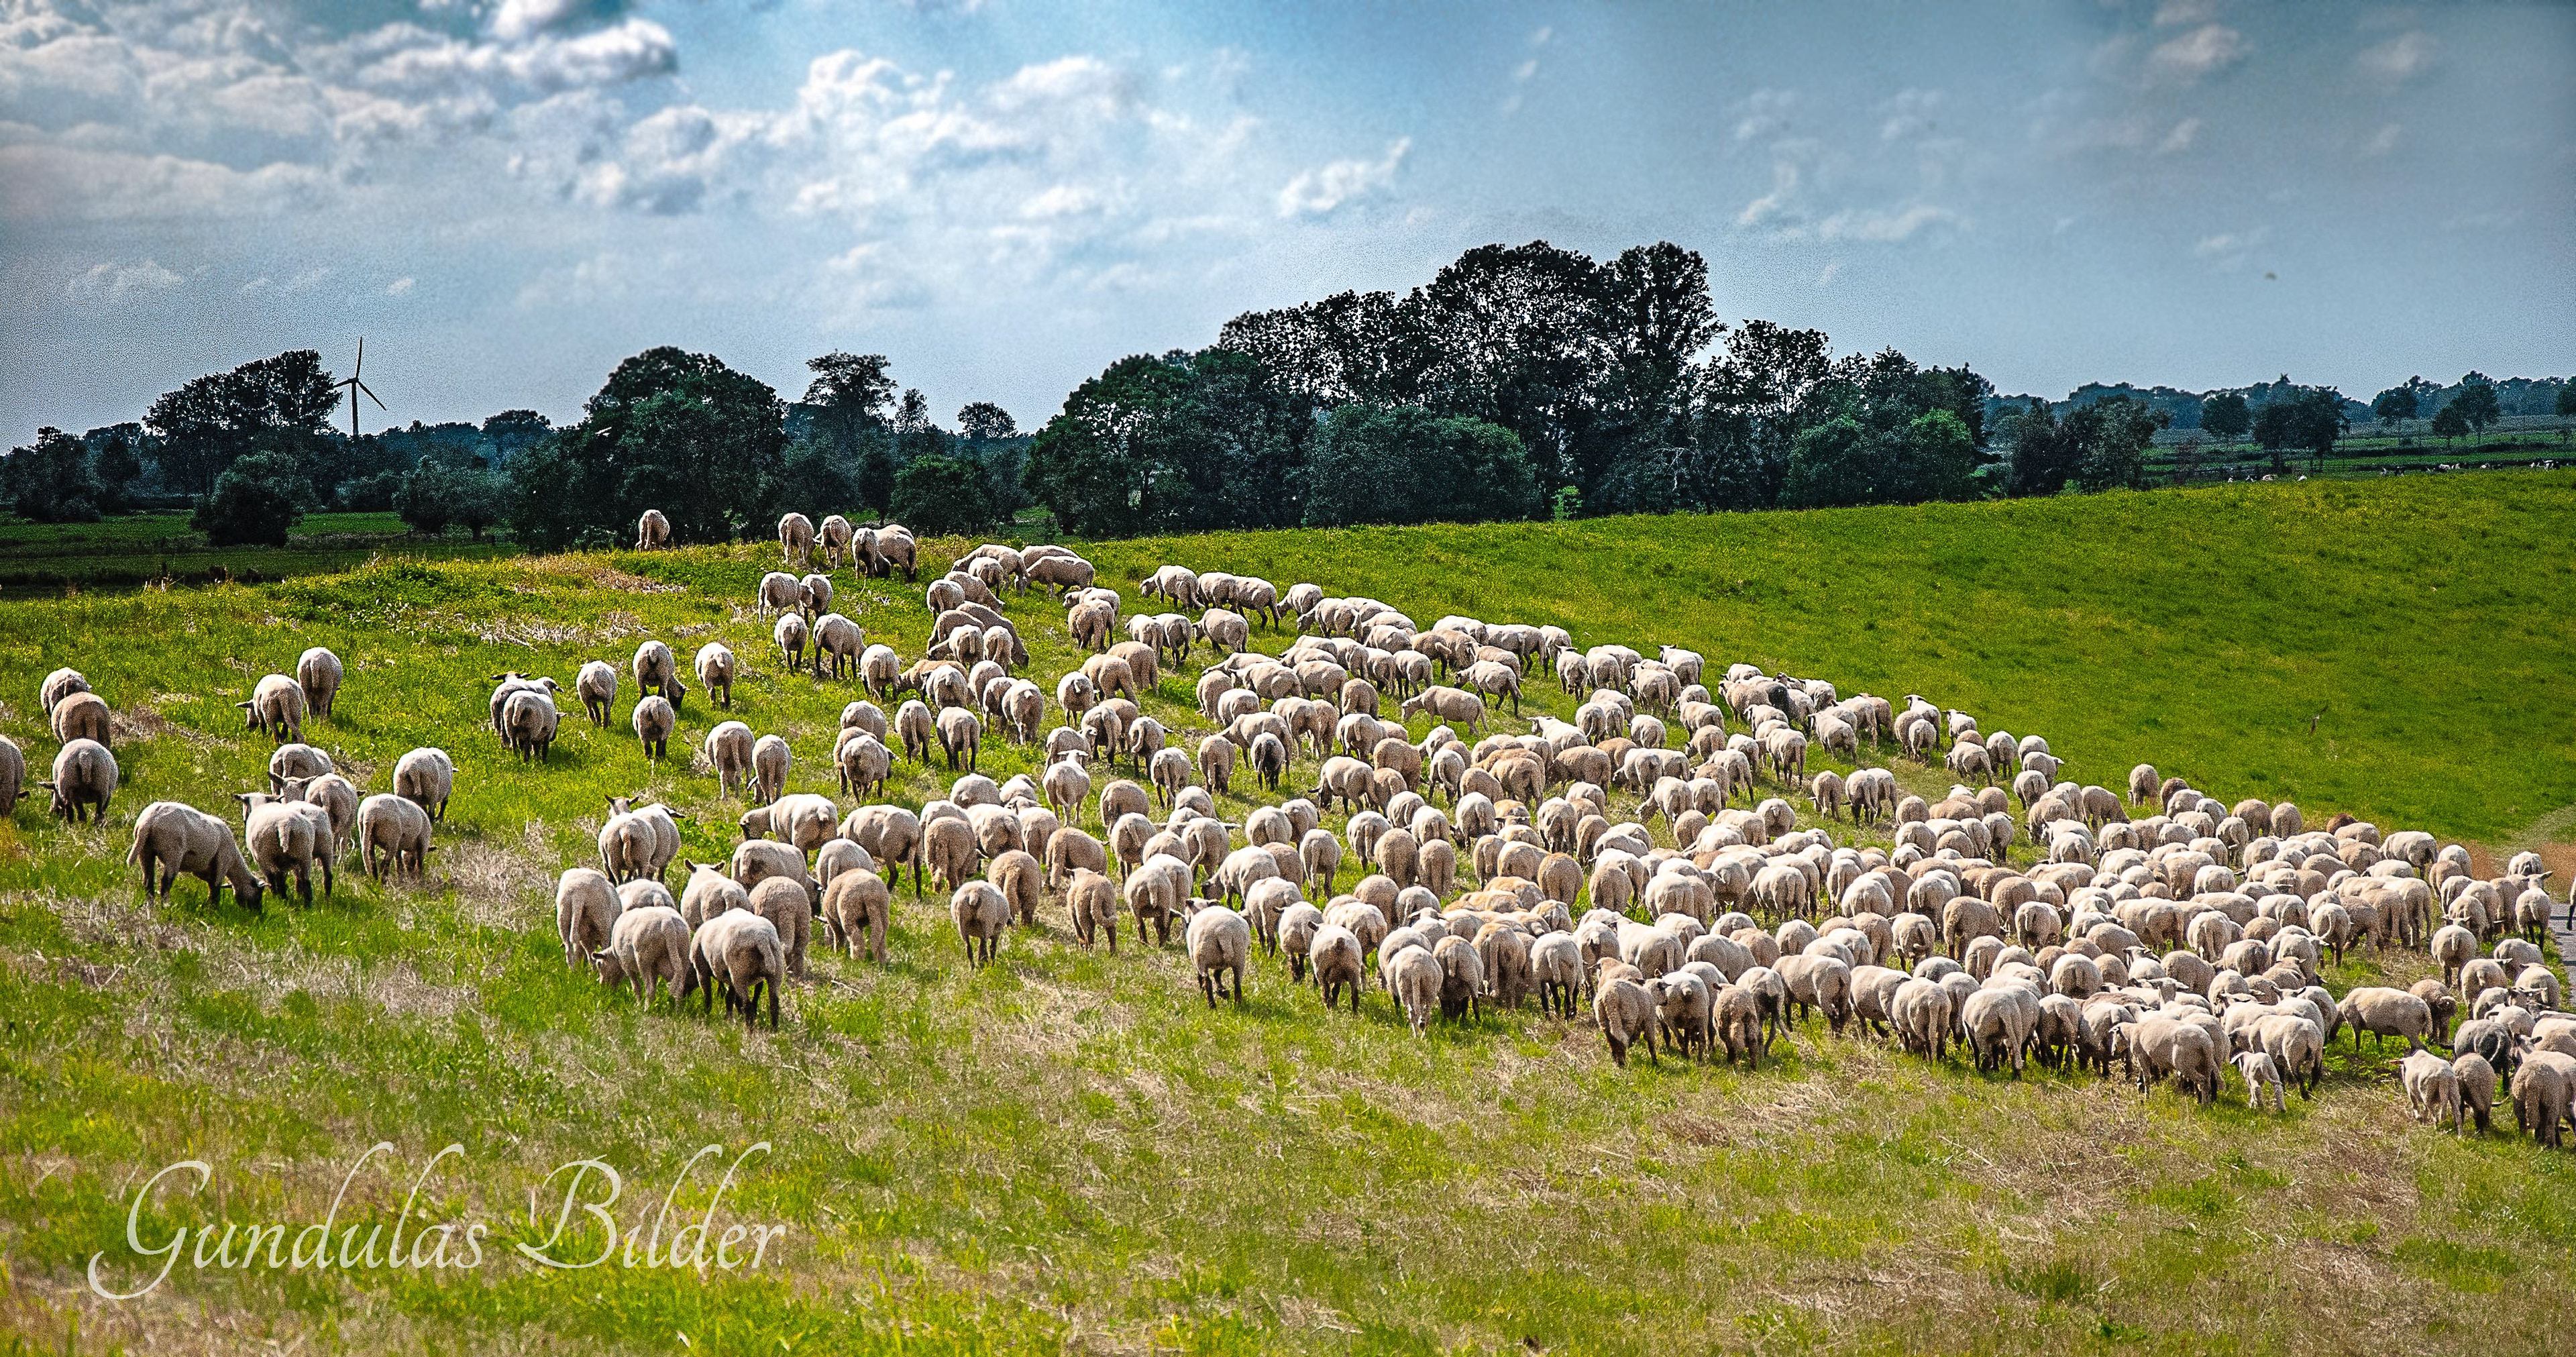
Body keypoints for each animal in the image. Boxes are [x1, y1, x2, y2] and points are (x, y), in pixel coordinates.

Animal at [127, 801, 264, 911]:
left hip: (145, 849)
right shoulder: (223, 862)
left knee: (148, 881)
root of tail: (149, 820)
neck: (234, 862)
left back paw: (150, 906)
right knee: (166, 882)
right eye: (259, 894)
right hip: (173, 852)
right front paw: (214, 910)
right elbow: (216, 889)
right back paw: (166, 906)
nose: (258, 913)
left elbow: (212, 886)